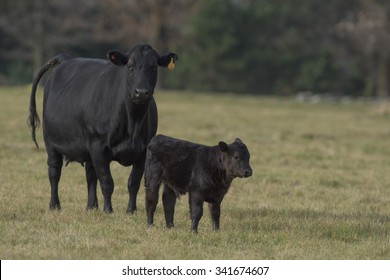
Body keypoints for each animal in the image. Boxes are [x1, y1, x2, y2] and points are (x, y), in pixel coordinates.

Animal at [27, 44, 178, 213]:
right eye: (130, 66)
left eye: (153, 67)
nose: (141, 92)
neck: (133, 125)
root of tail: (66, 59)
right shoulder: (98, 147)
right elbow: (107, 181)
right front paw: (108, 210)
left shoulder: (143, 151)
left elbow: (133, 182)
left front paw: (131, 211)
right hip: (51, 143)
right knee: (54, 172)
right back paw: (54, 205)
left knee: (90, 175)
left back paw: (91, 206)